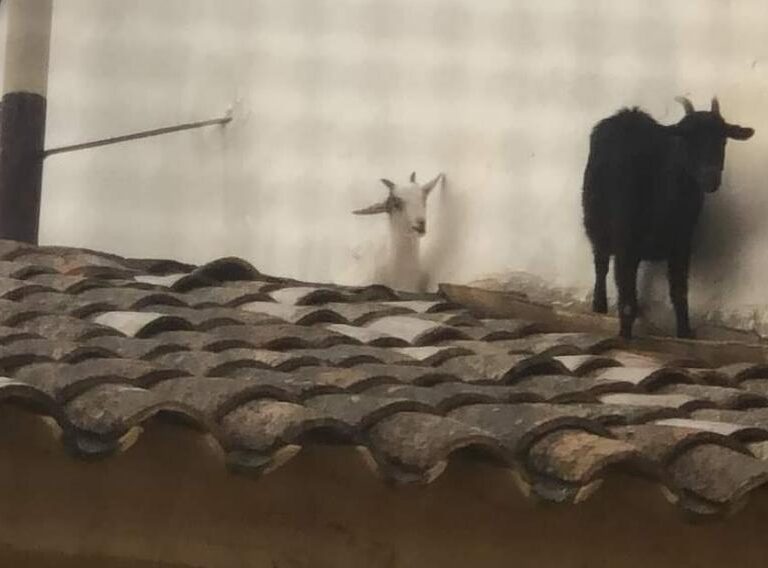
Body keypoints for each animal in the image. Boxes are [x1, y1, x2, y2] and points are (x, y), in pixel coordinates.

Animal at [582, 97, 754, 339]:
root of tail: (627, 114)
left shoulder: (681, 244)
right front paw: (624, 335)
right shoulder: (625, 243)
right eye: (686, 140)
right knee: (601, 262)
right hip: (595, 222)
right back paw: (599, 305)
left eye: (723, 140)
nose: (710, 178)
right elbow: (626, 299)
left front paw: (685, 332)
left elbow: (679, 292)